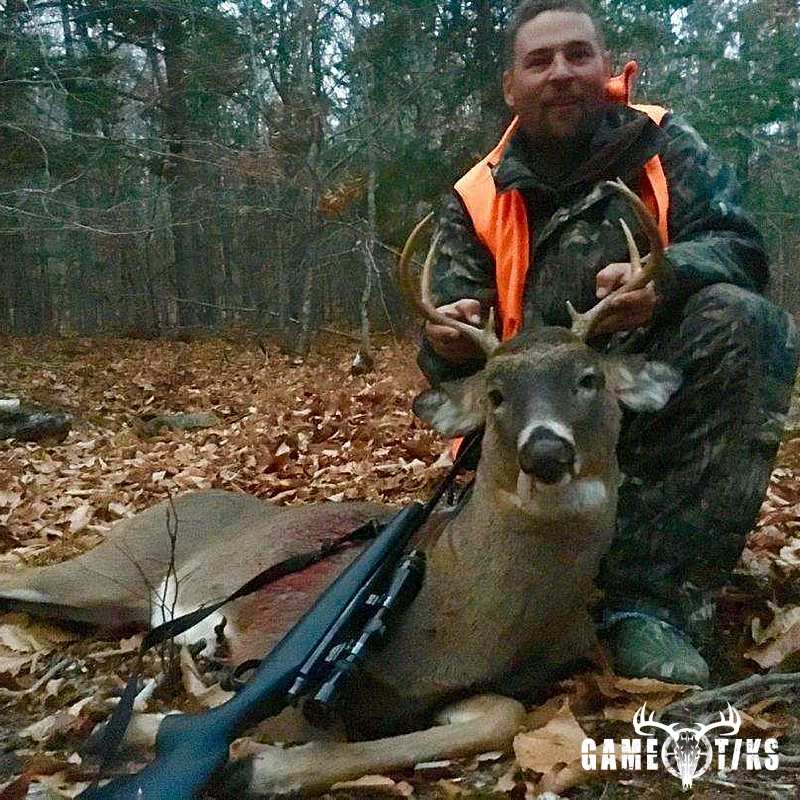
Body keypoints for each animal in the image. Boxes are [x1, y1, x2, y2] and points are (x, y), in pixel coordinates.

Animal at [0, 181, 679, 797]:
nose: (546, 451)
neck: (473, 615)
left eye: (589, 378)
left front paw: (246, 761)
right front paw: (206, 745)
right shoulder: (274, 643)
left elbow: (500, 717)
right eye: (495, 392)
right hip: (116, 566)